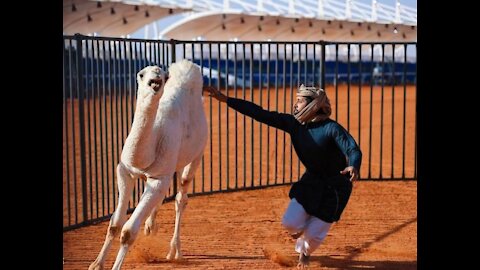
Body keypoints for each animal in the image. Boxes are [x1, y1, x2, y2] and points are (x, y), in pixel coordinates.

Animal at [89, 59, 208, 270]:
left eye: (163, 74)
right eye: (141, 74)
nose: (156, 76)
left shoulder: (159, 177)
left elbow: (128, 231)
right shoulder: (125, 171)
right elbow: (114, 224)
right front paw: (96, 264)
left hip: (197, 154)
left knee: (181, 196)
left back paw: (175, 252)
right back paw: (151, 226)